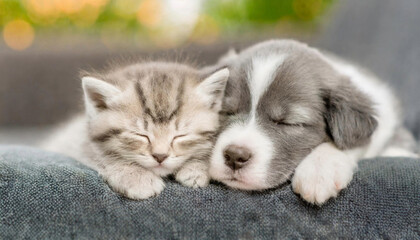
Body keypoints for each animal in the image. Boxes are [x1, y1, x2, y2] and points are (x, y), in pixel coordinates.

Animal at [41, 61, 230, 199]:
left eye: (180, 136)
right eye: (140, 135)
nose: (160, 156)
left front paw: (197, 167)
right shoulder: (77, 141)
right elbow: (102, 155)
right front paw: (136, 177)